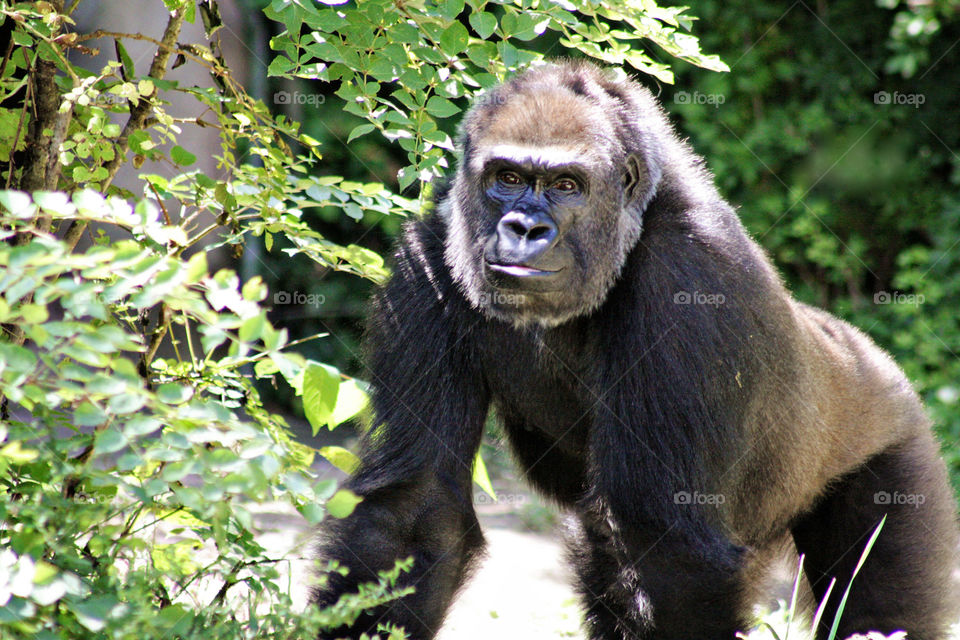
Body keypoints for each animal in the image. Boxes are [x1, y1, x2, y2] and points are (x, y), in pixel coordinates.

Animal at [312, 60, 959, 640]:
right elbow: (416, 514)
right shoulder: (426, 255)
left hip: (895, 444)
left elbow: (670, 551)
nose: (524, 229)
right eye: (508, 178)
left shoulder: (691, 272)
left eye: (566, 186)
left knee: (882, 611)